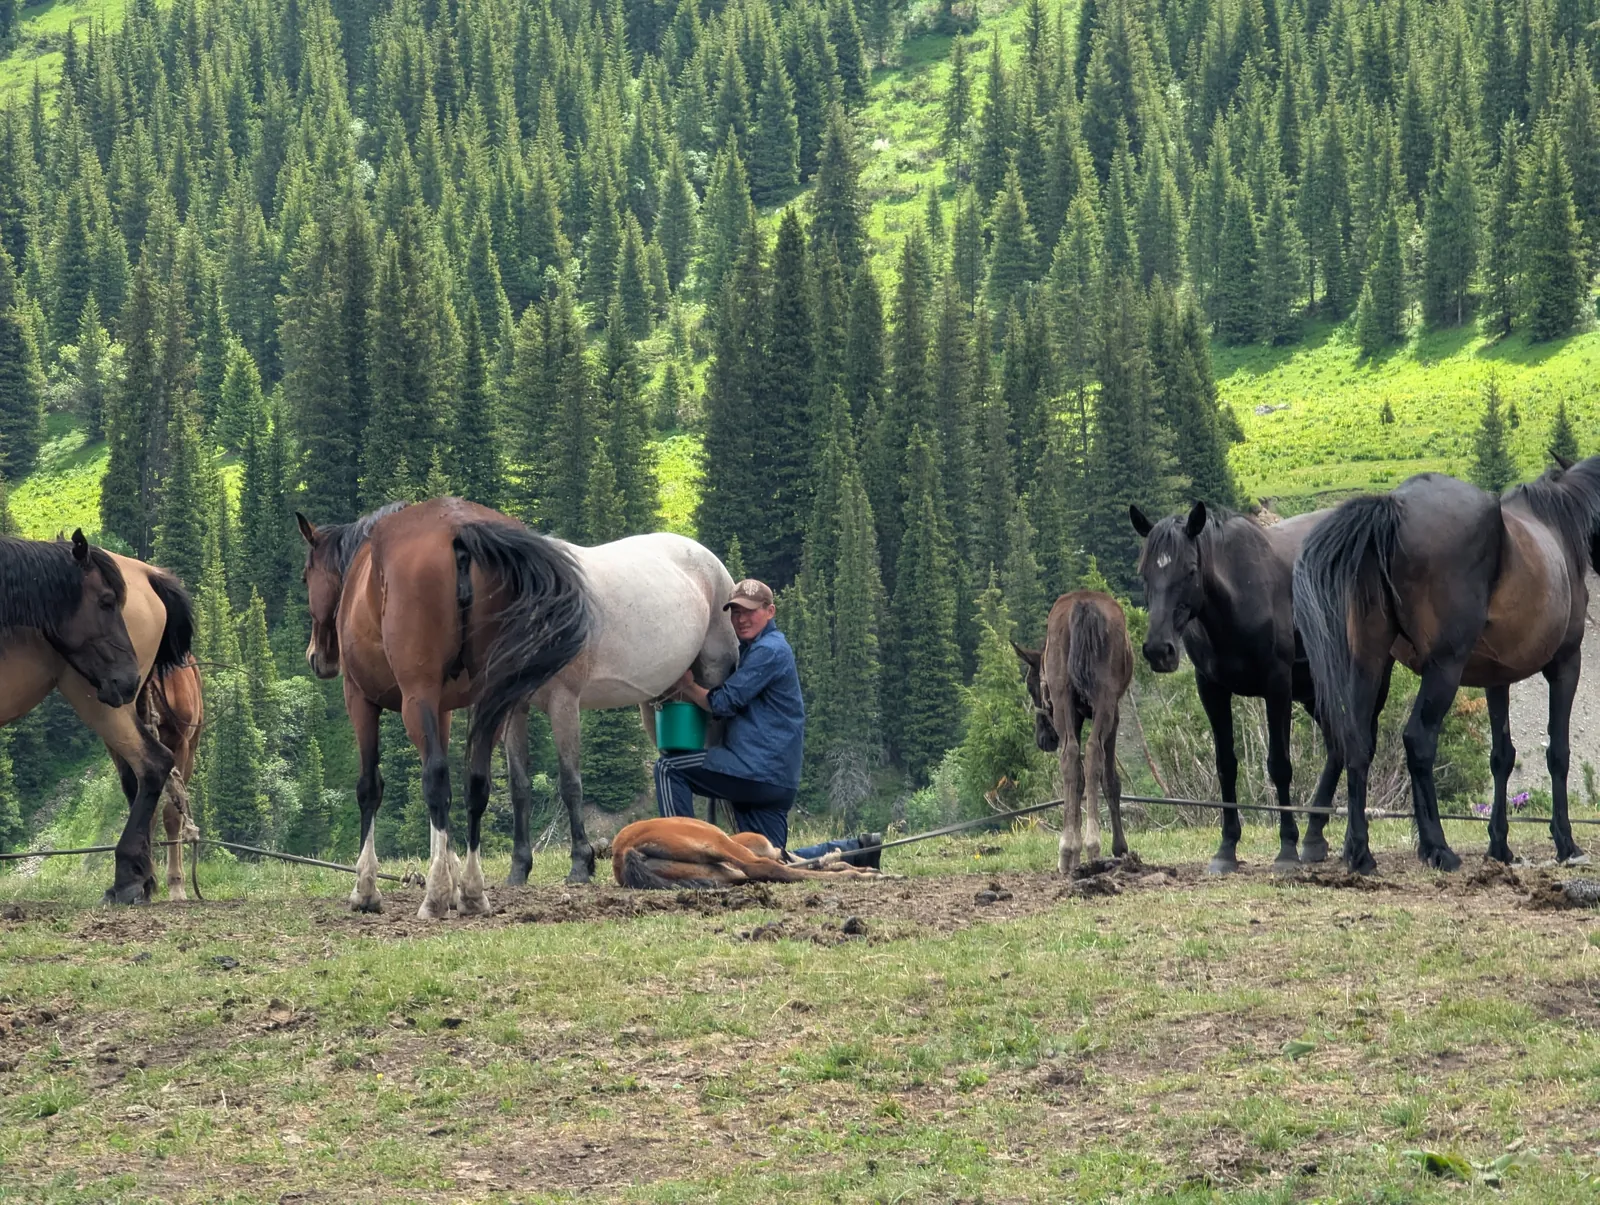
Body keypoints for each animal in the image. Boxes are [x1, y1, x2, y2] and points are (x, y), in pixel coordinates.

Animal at [2, 544, 194, 903]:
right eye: (106, 602)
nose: (127, 676)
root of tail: (148, 573)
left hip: (104, 704)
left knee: (153, 763)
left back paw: (127, 880)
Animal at [611, 817, 884, 888]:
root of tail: (624, 851)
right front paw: (862, 870)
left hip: (716, 873)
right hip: (717, 843)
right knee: (767, 868)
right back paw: (860, 876)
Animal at [1013, 591, 1135, 876]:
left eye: (1030, 685)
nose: (1043, 739)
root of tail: (1083, 607)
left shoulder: (1077, 716)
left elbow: (1077, 779)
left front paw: (1075, 851)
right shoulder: (1114, 713)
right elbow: (1110, 781)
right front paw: (1119, 847)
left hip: (1065, 698)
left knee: (1070, 757)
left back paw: (1067, 849)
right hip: (1104, 700)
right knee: (1092, 753)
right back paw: (1093, 845)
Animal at [1130, 502, 1371, 874]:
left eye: (1190, 570)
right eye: (1144, 572)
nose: (1159, 650)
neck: (1239, 597)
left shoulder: (1277, 685)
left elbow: (1279, 765)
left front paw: (1286, 848)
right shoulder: (1211, 689)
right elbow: (1225, 765)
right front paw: (1226, 848)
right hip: (1314, 693)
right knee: (1338, 747)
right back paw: (1315, 838)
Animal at [1294, 454, 1600, 874]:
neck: (1558, 526)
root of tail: (1394, 506)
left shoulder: (1497, 680)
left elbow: (1502, 757)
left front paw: (1500, 846)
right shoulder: (1566, 664)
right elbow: (1558, 754)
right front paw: (1566, 843)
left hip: (1372, 666)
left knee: (1357, 741)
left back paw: (1360, 853)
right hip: (1444, 670)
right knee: (1419, 741)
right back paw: (1437, 848)